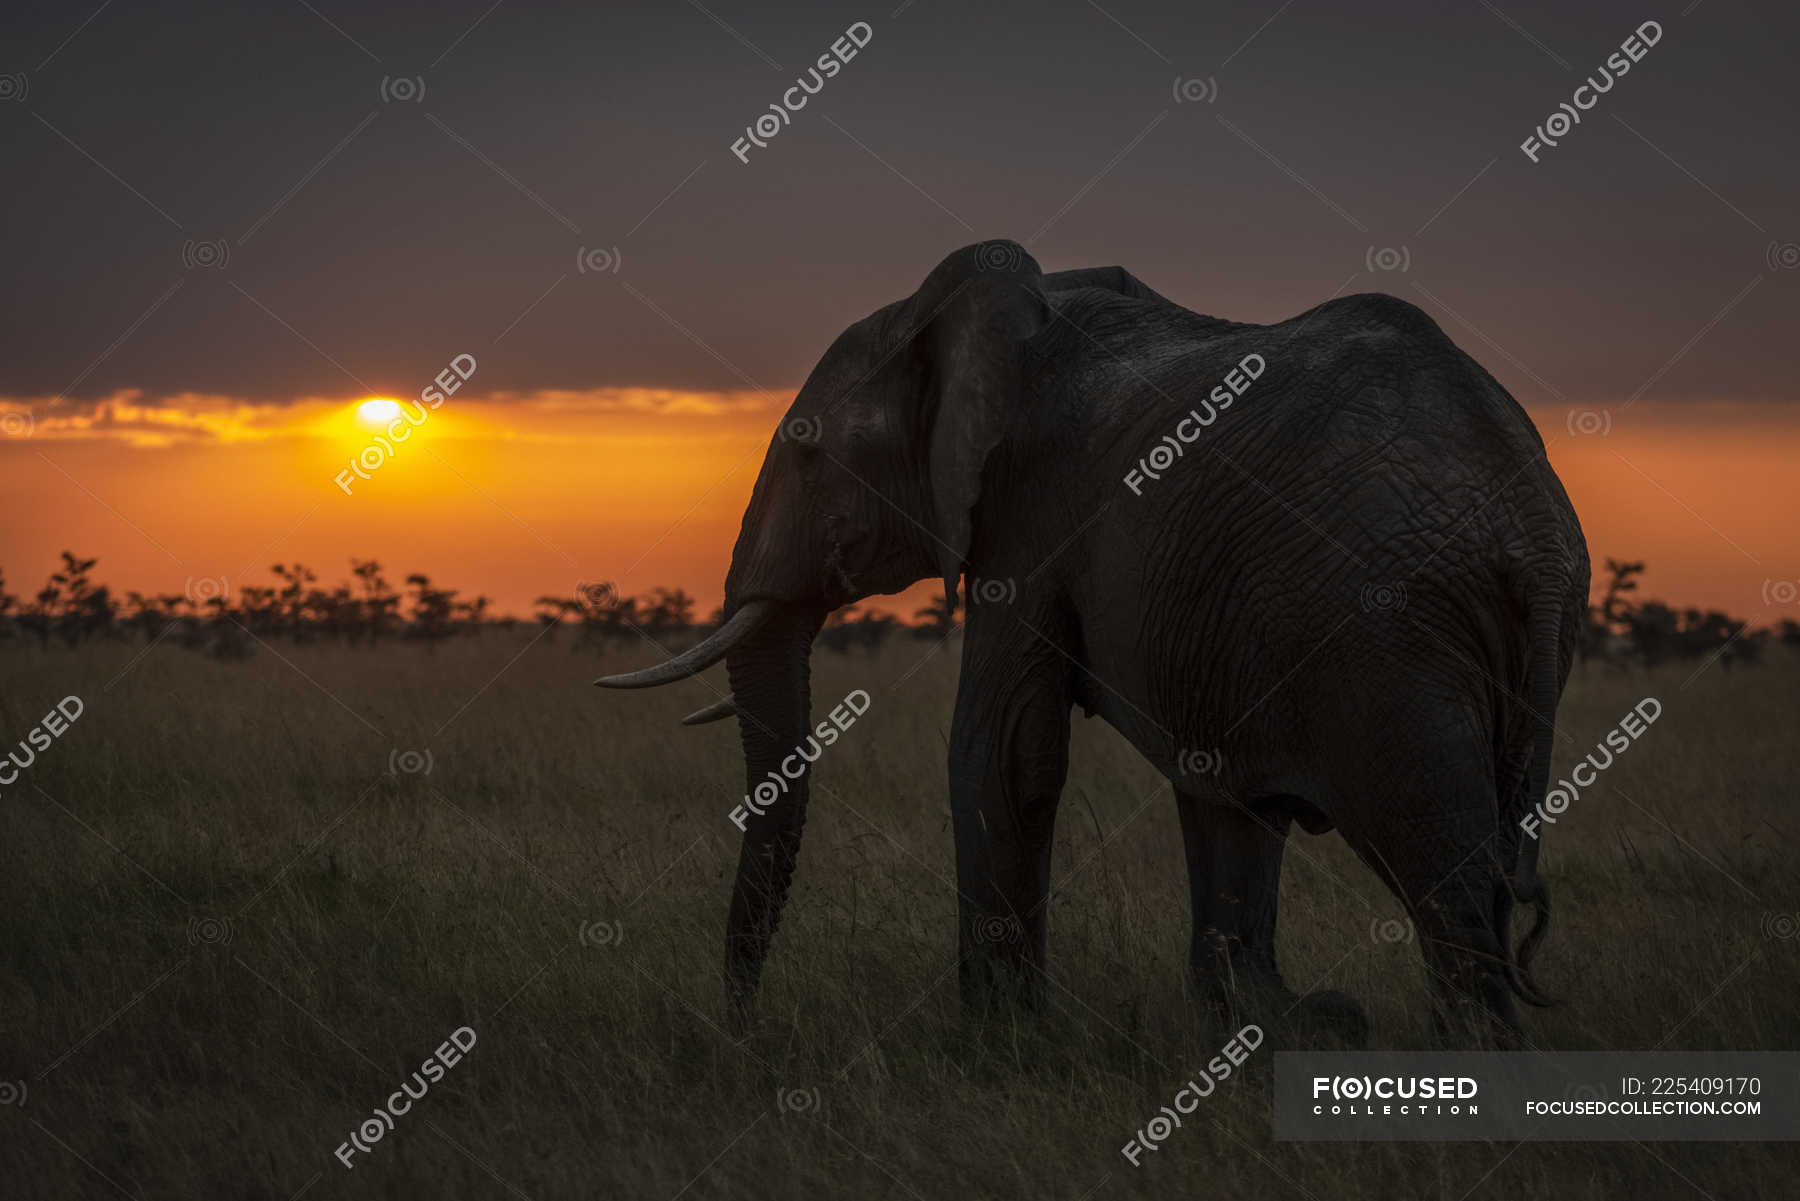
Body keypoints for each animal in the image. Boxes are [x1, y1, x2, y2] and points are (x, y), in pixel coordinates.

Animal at [597, 239, 1584, 1044]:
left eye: (806, 452)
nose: (744, 1025)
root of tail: (1529, 531)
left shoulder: (1029, 513)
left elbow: (1003, 749)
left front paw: (997, 1042)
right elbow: (1201, 781)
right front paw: (1265, 1023)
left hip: (1388, 640)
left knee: (1449, 868)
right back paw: (1324, 1025)